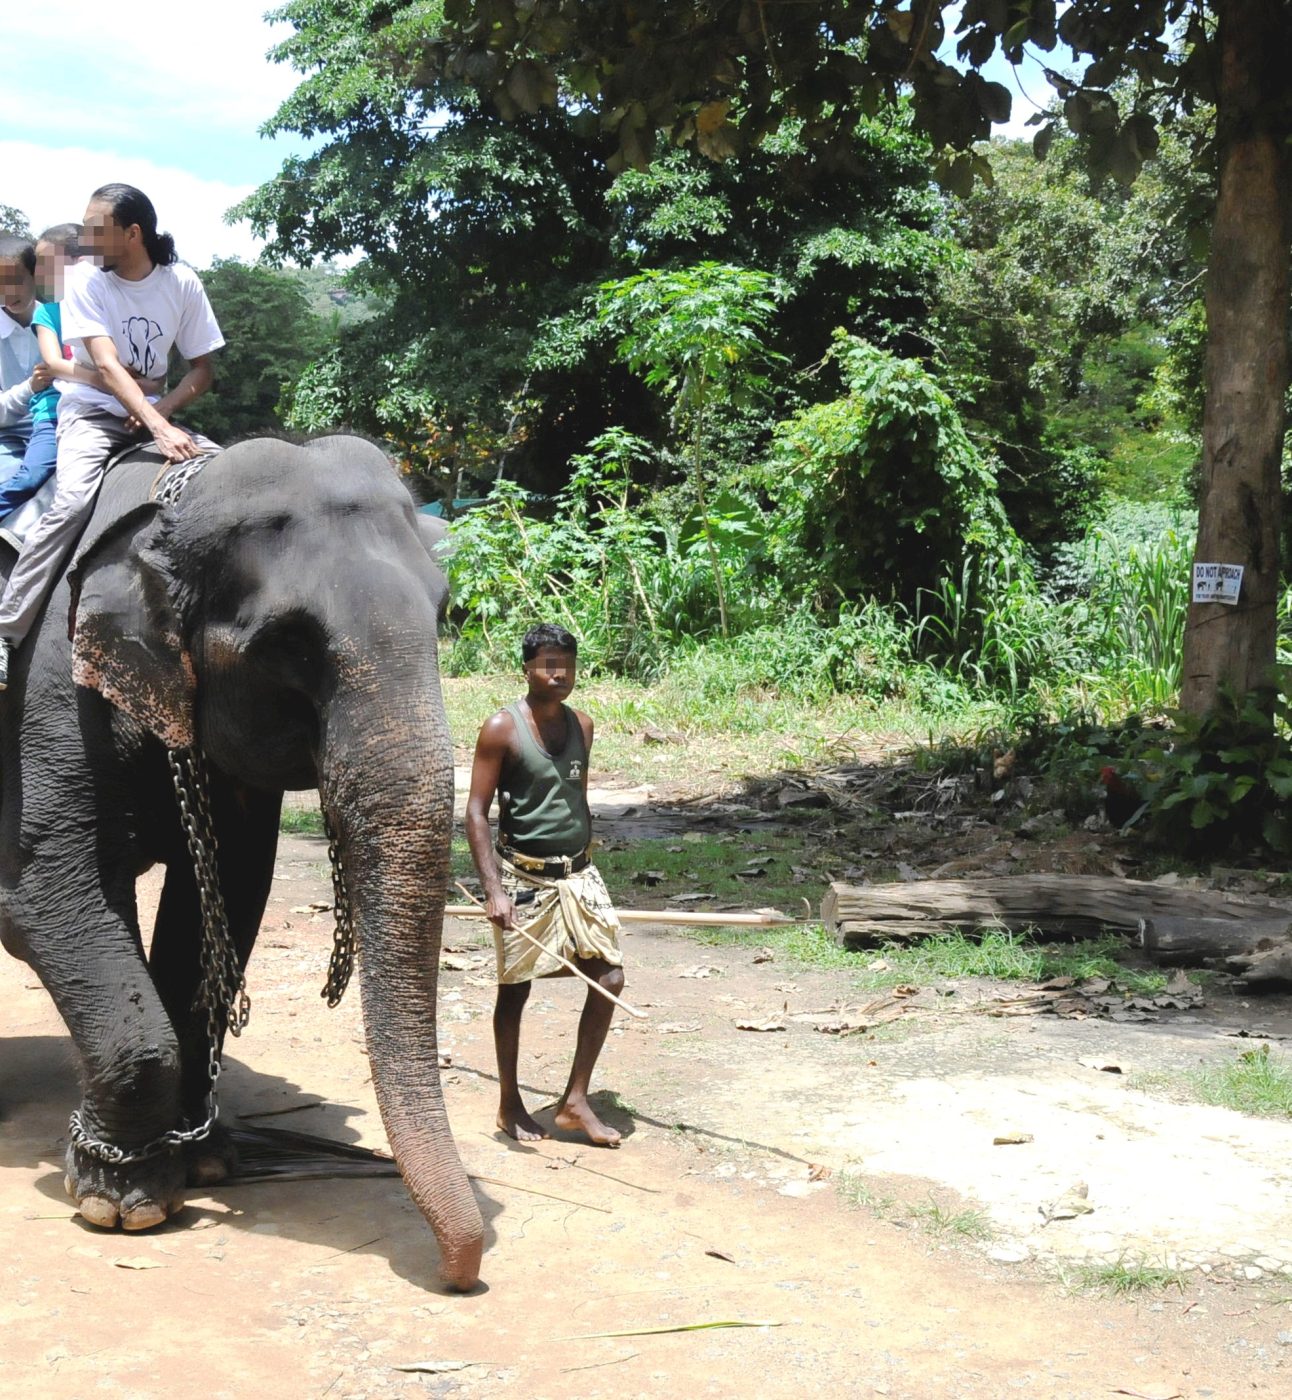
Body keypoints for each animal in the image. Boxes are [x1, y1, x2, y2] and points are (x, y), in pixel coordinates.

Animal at [0, 434, 484, 1291]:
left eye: (441, 611)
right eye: (288, 645)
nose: (463, 1270)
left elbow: (221, 904)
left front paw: (205, 1163)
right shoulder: (47, 698)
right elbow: (46, 895)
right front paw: (122, 1202)